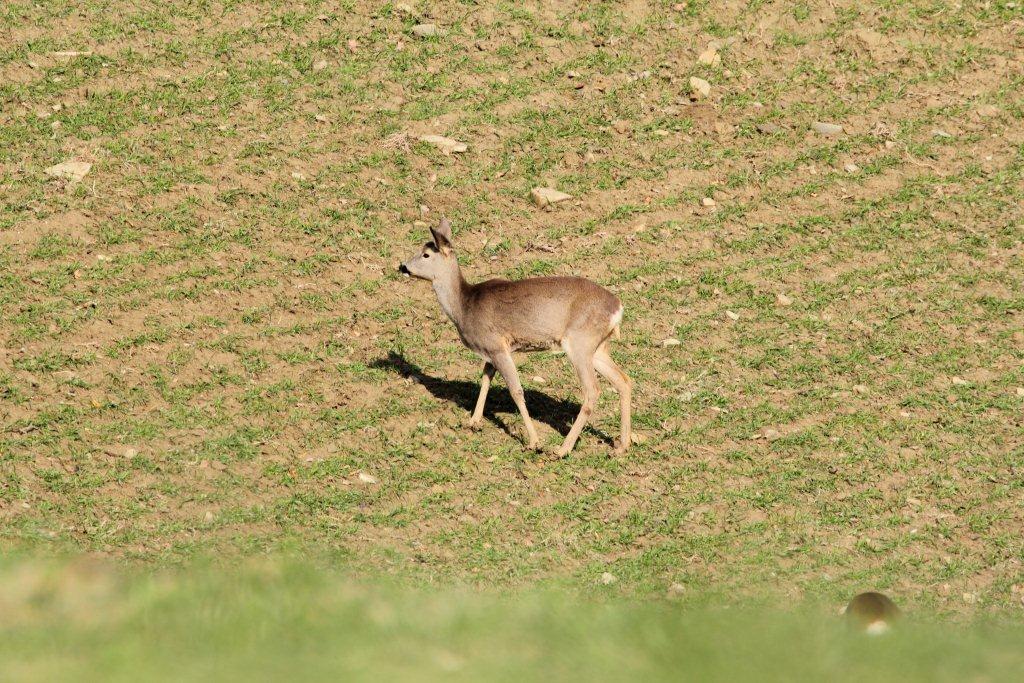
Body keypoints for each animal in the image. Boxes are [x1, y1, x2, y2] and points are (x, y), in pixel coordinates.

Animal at [395, 216, 626, 456]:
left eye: (426, 254)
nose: (402, 266)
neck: (464, 307)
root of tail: (618, 308)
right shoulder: (490, 350)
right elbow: (485, 378)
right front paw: (474, 422)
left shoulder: (497, 346)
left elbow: (516, 390)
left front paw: (534, 441)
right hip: (597, 348)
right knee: (623, 380)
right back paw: (621, 445)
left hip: (580, 341)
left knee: (593, 390)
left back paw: (562, 449)